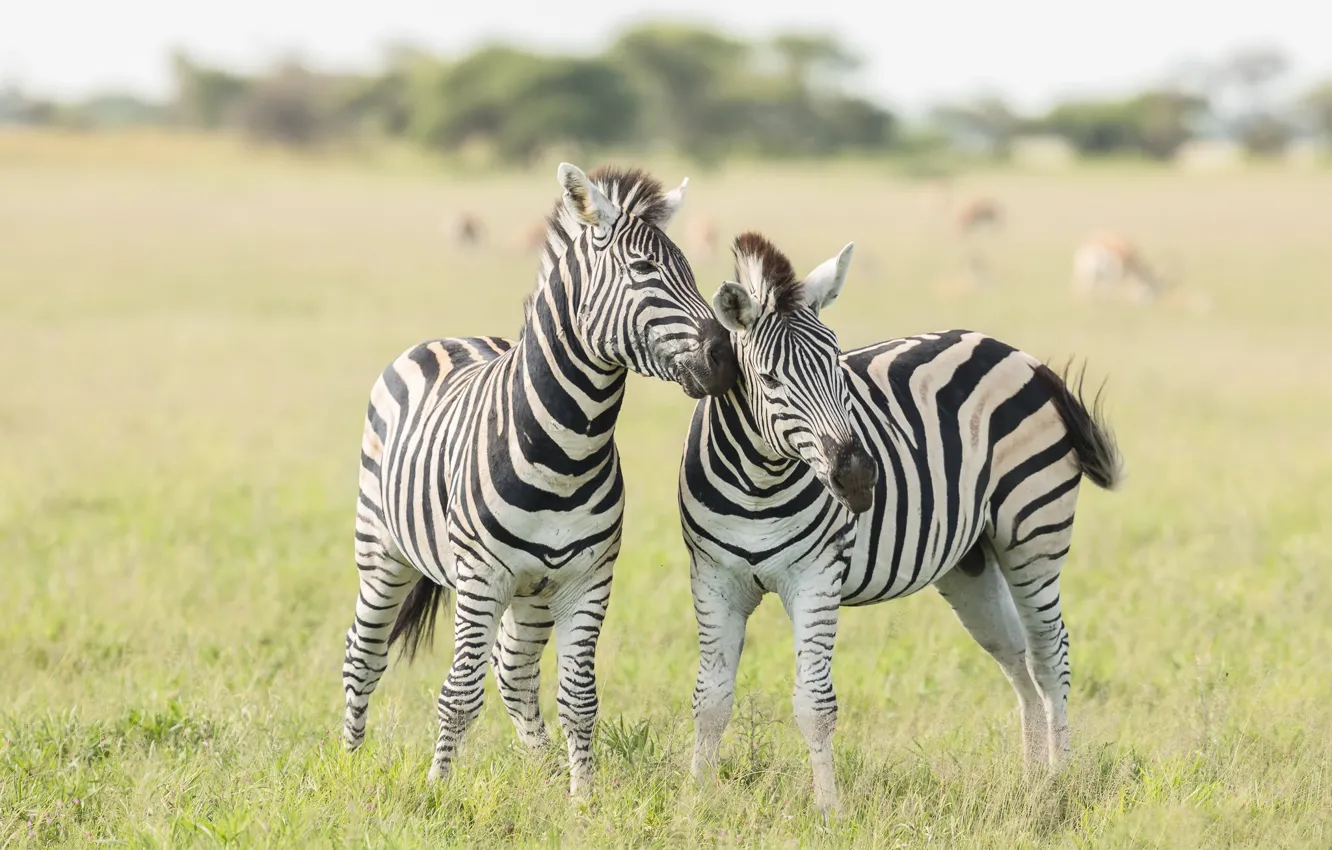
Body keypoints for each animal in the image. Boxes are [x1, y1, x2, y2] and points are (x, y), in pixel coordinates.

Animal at [342, 163, 738, 798]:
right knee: (364, 654)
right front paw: (437, 788)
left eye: (690, 269)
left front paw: (581, 796)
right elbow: (458, 693)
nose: (726, 361)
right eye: (643, 270)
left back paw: (544, 766)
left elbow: (579, 697)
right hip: (383, 553)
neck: (567, 452)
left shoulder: (588, 579)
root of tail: (448, 337)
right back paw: (350, 760)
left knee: (514, 671)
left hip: (532, 594)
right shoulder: (481, 578)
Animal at [680, 232, 1123, 815]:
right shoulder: (714, 580)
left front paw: (828, 812)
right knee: (1018, 657)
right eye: (770, 378)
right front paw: (696, 801)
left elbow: (814, 704)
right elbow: (709, 699)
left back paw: (1059, 781)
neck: (759, 482)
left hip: (1033, 535)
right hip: (970, 563)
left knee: (1051, 657)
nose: (858, 475)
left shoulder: (816, 578)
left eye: (838, 365)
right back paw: (1031, 783)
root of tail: (1019, 355)